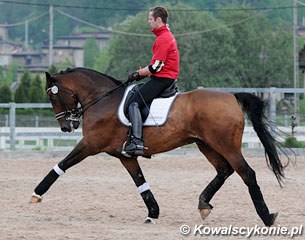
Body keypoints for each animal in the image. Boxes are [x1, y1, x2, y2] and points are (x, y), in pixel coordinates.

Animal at [30, 67, 288, 227]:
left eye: (52, 97)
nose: (66, 126)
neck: (102, 98)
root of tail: (231, 97)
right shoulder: (125, 156)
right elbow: (141, 183)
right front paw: (153, 213)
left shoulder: (90, 144)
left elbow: (62, 165)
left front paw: (36, 193)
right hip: (206, 145)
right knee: (224, 171)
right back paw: (203, 204)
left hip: (226, 145)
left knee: (247, 173)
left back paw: (267, 216)